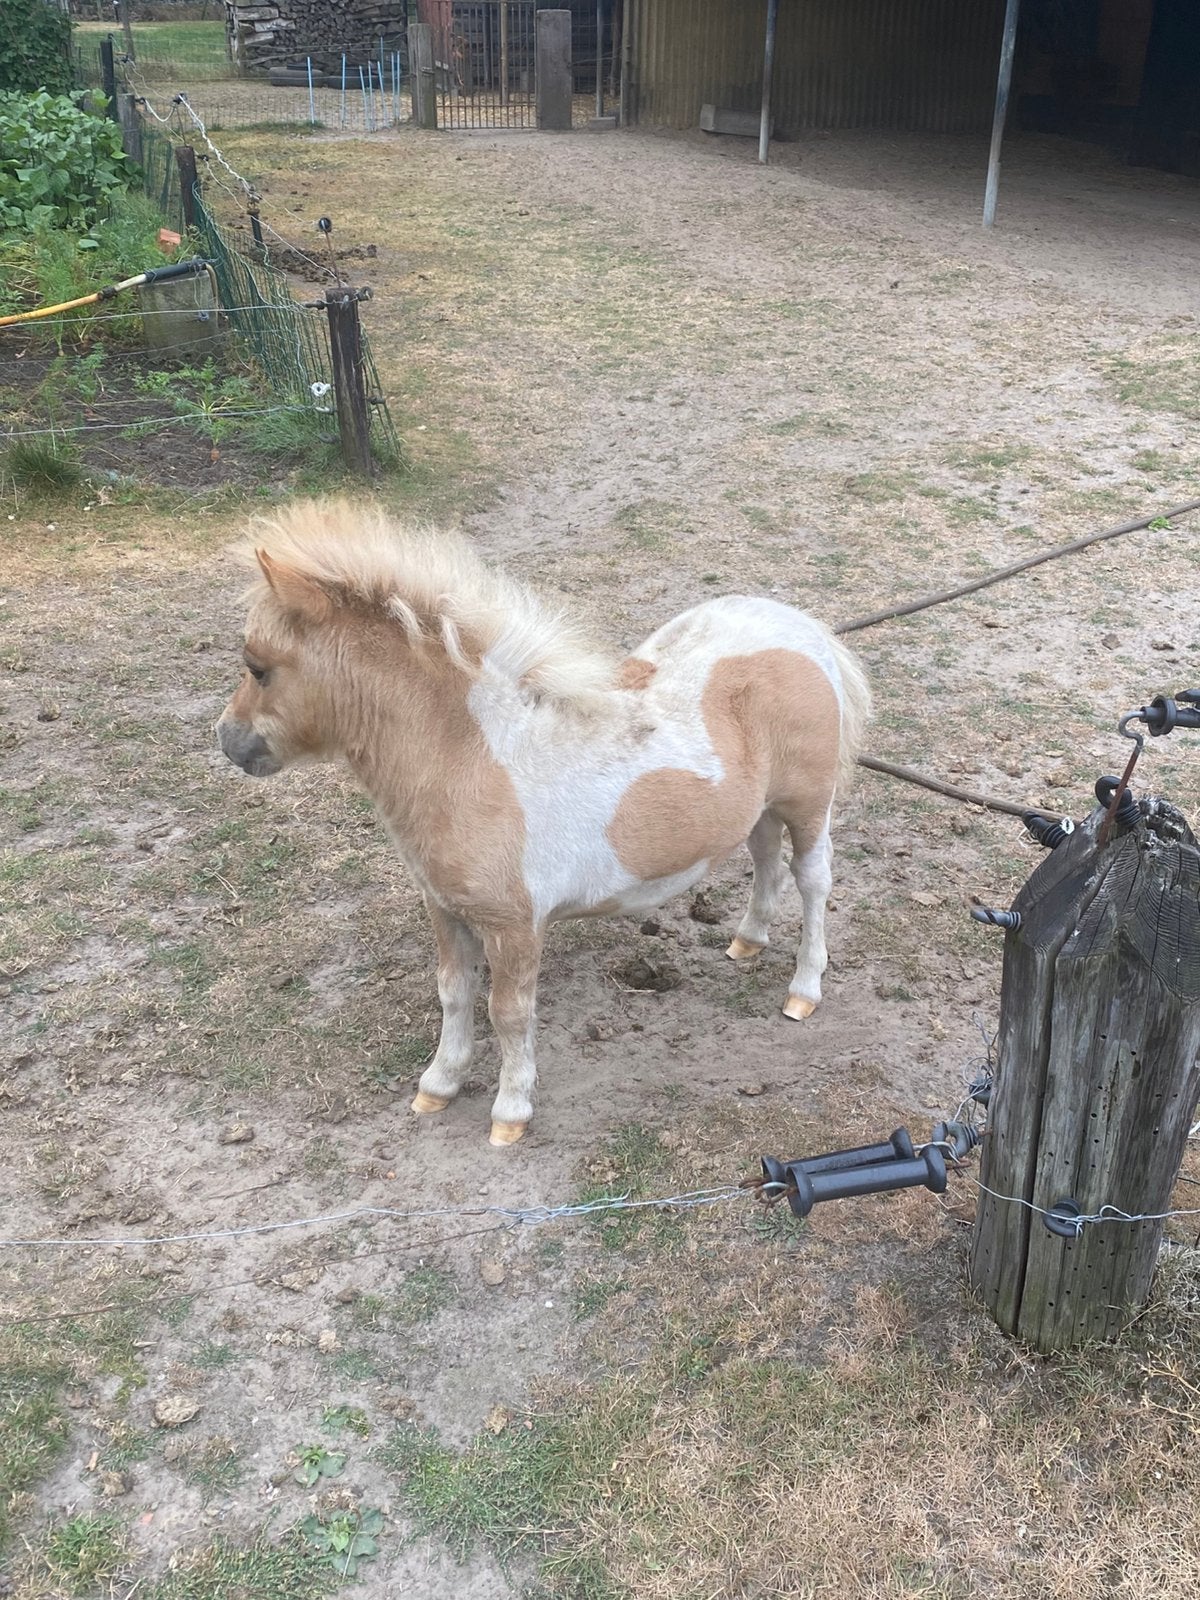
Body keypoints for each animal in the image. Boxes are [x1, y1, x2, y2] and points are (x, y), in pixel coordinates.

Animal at [217, 500, 872, 1147]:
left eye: (258, 666)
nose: (228, 741)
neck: (475, 758)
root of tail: (805, 630)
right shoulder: (446, 908)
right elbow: (453, 992)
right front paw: (437, 1086)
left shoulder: (516, 926)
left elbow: (508, 1012)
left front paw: (510, 1113)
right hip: (758, 807)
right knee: (763, 858)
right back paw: (748, 940)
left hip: (808, 804)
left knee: (812, 880)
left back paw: (803, 991)